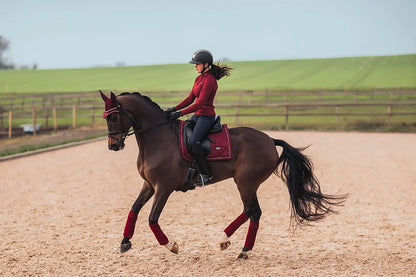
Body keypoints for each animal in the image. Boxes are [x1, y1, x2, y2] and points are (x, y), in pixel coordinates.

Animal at [99, 91, 346, 258]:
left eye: (113, 117)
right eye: (105, 117)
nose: (113, 145)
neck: (158, 139)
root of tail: (269, 140)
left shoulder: (164, 188)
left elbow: (152, 218)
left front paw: (172, 246)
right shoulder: (149, 185)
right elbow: (134, 209)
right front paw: (124, 242)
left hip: (245, 182)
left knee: (250, 210)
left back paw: (226, 240)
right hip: (248, 184)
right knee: (254, 212)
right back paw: (243, 249)